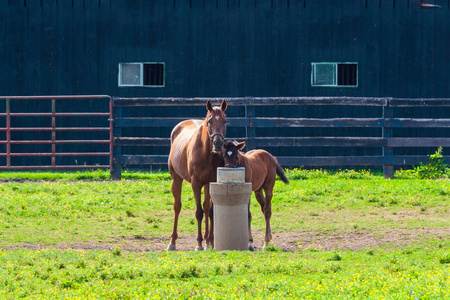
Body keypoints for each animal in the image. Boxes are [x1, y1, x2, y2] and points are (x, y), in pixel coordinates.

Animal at [167, 99, 227, 250]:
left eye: (225, 120)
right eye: (210, 121)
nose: (218, 143)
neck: (206, 153)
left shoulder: (212, 182)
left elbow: (210, 211)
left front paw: (210, 243)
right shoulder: (195, 183)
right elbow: (199, 213)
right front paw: (199, 244)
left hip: (206, 185)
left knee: (206, 207)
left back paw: (208, 241)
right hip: (176, 179)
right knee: (177, 206)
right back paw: (172, 242)